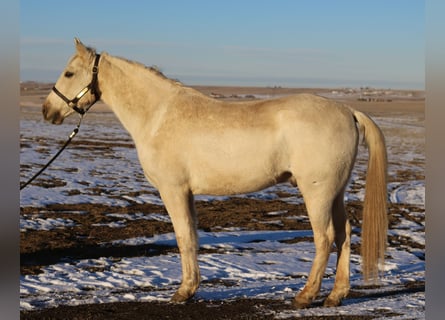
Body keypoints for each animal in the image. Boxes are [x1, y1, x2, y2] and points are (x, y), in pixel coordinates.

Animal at [43, 38, 386, 308]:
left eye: (69, 73)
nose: (48, 111)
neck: (158, 116)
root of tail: (347, 110)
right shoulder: (187, 193)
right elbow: (192, 237)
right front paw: (191, 288)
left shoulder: (173, 190)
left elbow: (183, 237)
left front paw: (183, 292)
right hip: (335, 193)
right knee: (343, 234)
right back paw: (335, 295)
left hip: (317, 192)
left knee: (324, 237)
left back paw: (305, 296)